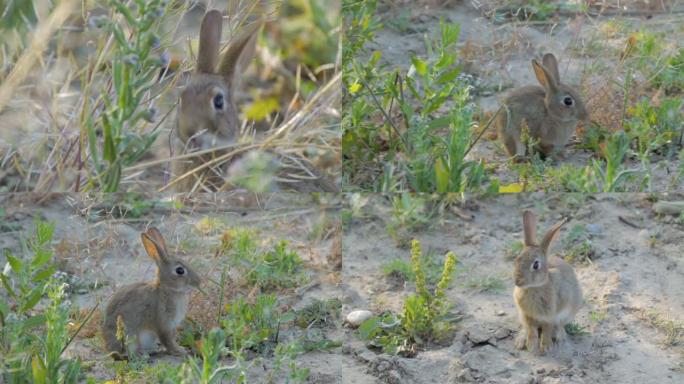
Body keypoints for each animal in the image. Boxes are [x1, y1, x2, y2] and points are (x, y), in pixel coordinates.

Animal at [101, 226, 200, 358]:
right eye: (180, 270)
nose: (199, 281)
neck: (167, 289)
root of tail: (109, 348)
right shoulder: (163, 323)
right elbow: (167, 340)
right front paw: (179, 351)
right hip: (130, 335)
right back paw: (141, 354)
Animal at [512, 210, 584, 354]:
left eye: (535, 265)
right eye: (517, 259)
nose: (517, 281)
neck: (534, 287)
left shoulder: (551, 315)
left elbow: (547, 329)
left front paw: (546, 347)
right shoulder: (527, 315)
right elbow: (531, 329)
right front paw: (531, 345)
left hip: (570, 311)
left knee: (560, 325)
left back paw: (559, 337)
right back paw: (520, 341)